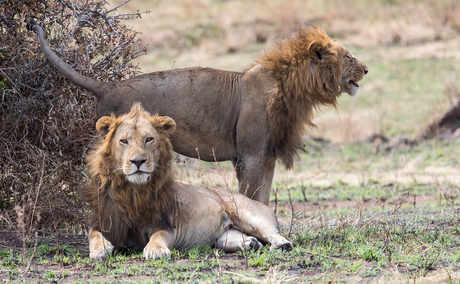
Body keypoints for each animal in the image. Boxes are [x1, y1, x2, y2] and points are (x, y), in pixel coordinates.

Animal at [30, 22, 368, 204]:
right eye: (349, 56)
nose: (366, 69)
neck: (293, 87)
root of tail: (105, 86)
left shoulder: (267, 155)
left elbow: (264, 197)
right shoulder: (250, 155)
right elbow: (250, 197)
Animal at [81, 103, 292, 260]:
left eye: (149, 139)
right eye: (124, 141)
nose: (138, 161)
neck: (132, 192)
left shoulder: (165, 225)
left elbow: (158, 236)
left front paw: (156, 250)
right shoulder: (104, 222)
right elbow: (94, 235)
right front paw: (99, 250)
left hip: (251, 215)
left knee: (274, 233)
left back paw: (281, 244)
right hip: (225, 232)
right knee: (227, 238)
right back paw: (250, 243)